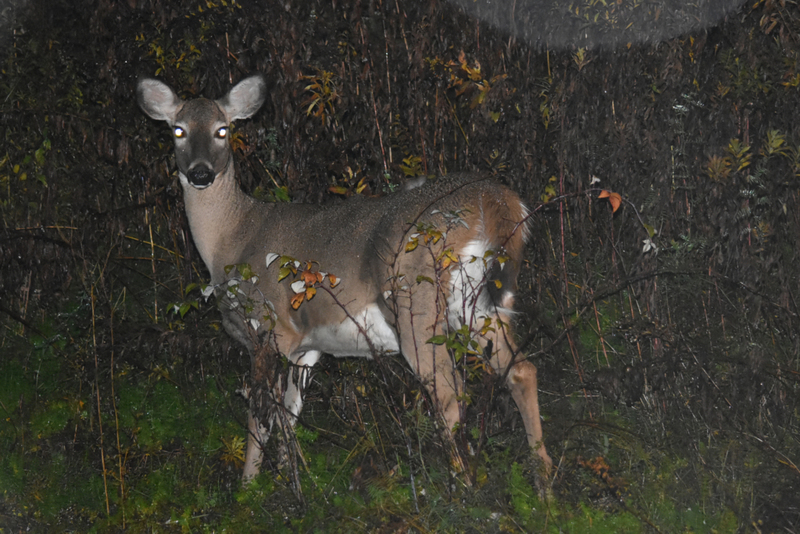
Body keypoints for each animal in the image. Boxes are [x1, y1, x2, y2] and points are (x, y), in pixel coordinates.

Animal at [138, 74, 552, 486]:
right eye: (178, 130)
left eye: (222, 130)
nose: (201, 173)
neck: (231, 239)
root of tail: (496, 202)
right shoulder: (306, 346)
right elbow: (289, 415)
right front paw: (292, 479)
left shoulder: (267, 327)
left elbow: (260, 417)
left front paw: (249, 489)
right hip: (479, 305)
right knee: (521, 371)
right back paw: (543, 483)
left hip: (415, 300)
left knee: (450, 392)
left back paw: (463, 486)